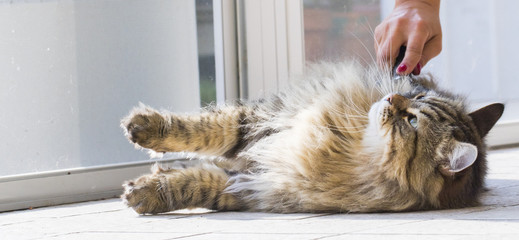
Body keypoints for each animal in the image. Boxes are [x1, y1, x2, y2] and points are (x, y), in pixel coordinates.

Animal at [121, 62, 504, 214]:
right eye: (417, 94)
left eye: (411, 121)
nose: (393, 96)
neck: (351, 145)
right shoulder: (268, 120)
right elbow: (205, 129)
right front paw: (145, 126)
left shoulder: (257, 185)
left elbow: (196, 183)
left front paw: (146, 192)